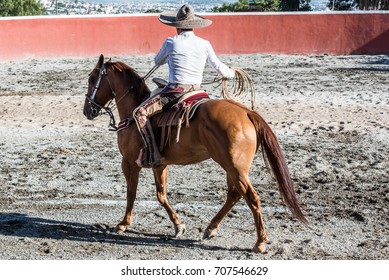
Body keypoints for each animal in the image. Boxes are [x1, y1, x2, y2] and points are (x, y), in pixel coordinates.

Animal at [82, 55, 306, 254]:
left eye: (92, 79)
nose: (87, 111)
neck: (132, 111)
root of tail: (246, 112)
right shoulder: (159, 164)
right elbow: (161, 195)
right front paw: (178, 226)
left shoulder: (129, 162)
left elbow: (131, 193)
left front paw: (123, 223)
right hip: (233, 168)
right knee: (234, 195)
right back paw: (211, 228)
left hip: (235, 168)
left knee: (251, 197)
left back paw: (259, 242)